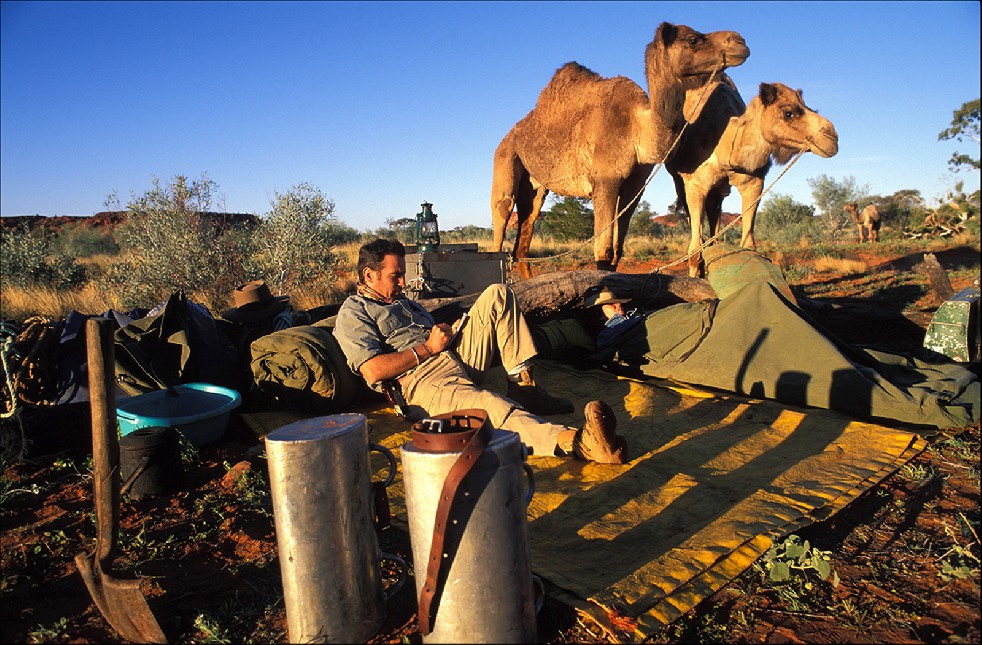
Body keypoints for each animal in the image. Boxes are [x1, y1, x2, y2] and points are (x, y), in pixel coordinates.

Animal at [492, 21, 752, 278]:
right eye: (693, 39)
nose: (741, 41)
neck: (638, 129)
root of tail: (511, 135)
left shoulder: (635, 187)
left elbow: (616, 250)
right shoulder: (604, 182)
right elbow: (603, 249)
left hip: (536, 186)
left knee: (524, 237)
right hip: (506, 158)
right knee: (502, 214)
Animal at [664, 76, 840, 276]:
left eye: (810, 108)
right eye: (788, 113)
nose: (832, 137)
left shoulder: (753, 182)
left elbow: (749, 244)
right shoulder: (696, 185)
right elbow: (695, 250)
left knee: (714, 223)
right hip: (680, 182)